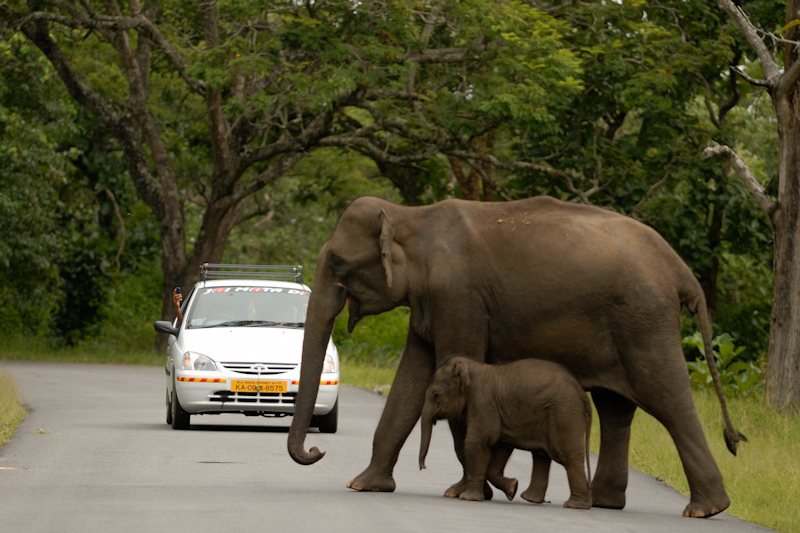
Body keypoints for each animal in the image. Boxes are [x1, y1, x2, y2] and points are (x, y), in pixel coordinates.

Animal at [418, 354, 592, 508]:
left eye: (436, 395)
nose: (423, 467)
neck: (473, 368)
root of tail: (584, 397)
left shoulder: (484, 404)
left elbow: (477, 442)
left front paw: (468, 499)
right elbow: (502, 445)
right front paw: (513, 488)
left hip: (564, 415)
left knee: (568, 456)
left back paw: (574, 506)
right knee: (542, 455)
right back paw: (531, 498)